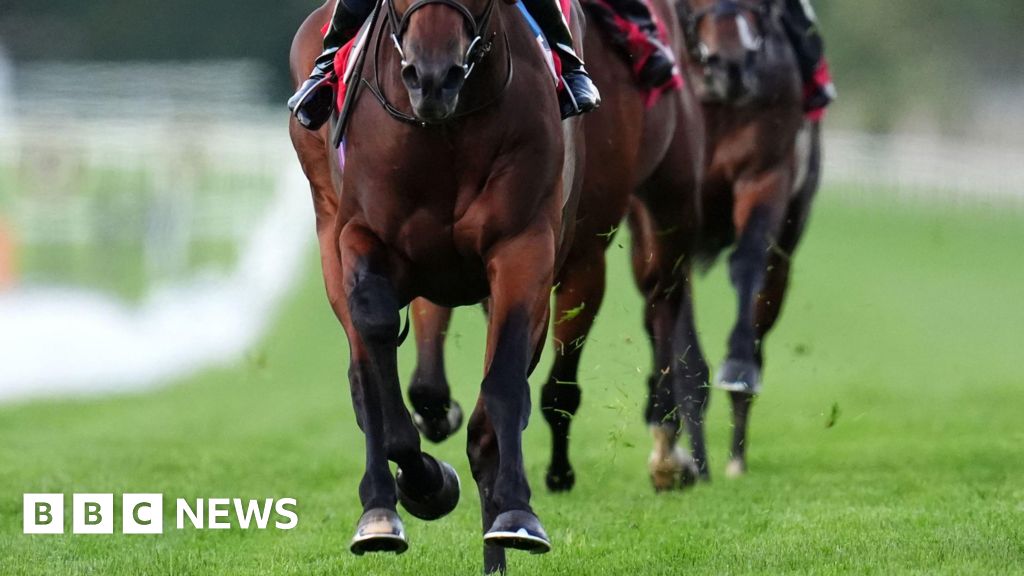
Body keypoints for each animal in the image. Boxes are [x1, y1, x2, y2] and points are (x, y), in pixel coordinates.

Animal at [288, 0, 586, 572]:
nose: (432, 78)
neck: (444, 133)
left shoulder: (524, 247)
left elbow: (502, 386)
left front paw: (516, 514)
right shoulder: (359, 235)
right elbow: (376, 350)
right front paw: (408, 494)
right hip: (327, 228)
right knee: (362, 373)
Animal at [406, 0, 708, 493]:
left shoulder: (583, 256)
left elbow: (560, 384)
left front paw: (558, 471)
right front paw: (440, 413)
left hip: (671, 196)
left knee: (663, 296)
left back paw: (667, 449)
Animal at [629, 0, 823, 478]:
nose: (732, 63)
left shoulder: (766, 171)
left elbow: (748, 259)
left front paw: (738, 369)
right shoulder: (662, 204)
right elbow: (674, 298)